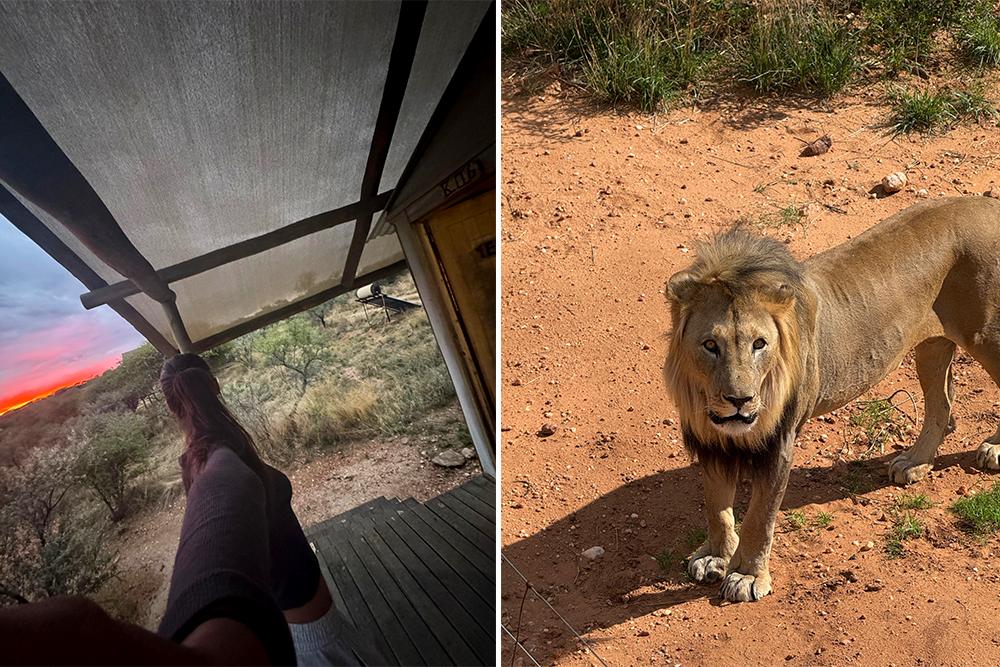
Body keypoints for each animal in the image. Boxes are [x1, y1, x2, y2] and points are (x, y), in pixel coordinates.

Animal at [664, 196, 1000, 603]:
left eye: (760, 343)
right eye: (711, 345)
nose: (740, 399)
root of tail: (989, 204)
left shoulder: (780, 441)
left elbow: (759, 517)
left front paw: (746, 576)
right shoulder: (709, 438)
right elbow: (716, 504)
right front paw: (714, 556)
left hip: (987, 336)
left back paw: (993, 450)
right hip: (932, 347)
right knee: (943, 404)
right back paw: (915, 463)